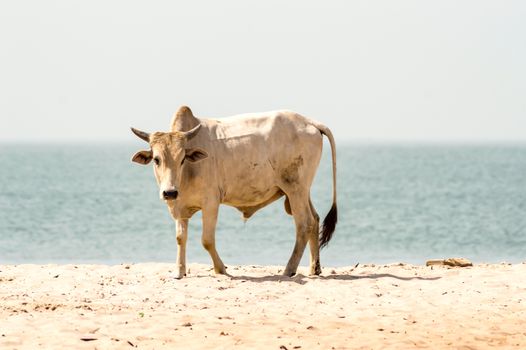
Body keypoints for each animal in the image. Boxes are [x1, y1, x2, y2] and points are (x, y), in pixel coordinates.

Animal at [131, 105, 338, 278]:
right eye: (156, 159)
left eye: (182, 159)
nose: (169, 192)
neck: (188, 173)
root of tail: (310, 122)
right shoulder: (179, 207)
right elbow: (180, 238)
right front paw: (179, 271)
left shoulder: (211, 203)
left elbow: (207, 240)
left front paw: (220, 269)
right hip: (301, 190)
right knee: (315, 219)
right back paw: (314, 269)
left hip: (295, 189)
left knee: (304, 224)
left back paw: (289, 269)